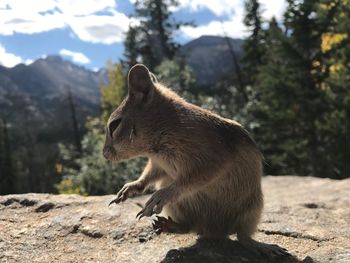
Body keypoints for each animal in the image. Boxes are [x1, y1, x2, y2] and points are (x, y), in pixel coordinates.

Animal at [104, 64, 290, 258]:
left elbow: (190, 181)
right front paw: (130, 188)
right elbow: (148, 176)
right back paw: (169, 225)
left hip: (252, 210)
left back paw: (263, 246)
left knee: (243, 237)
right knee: (190, 227)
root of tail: (215, 231)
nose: (105, 154)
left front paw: (160, 196)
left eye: (114, 125)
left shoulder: (211, 159)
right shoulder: (159, 164)